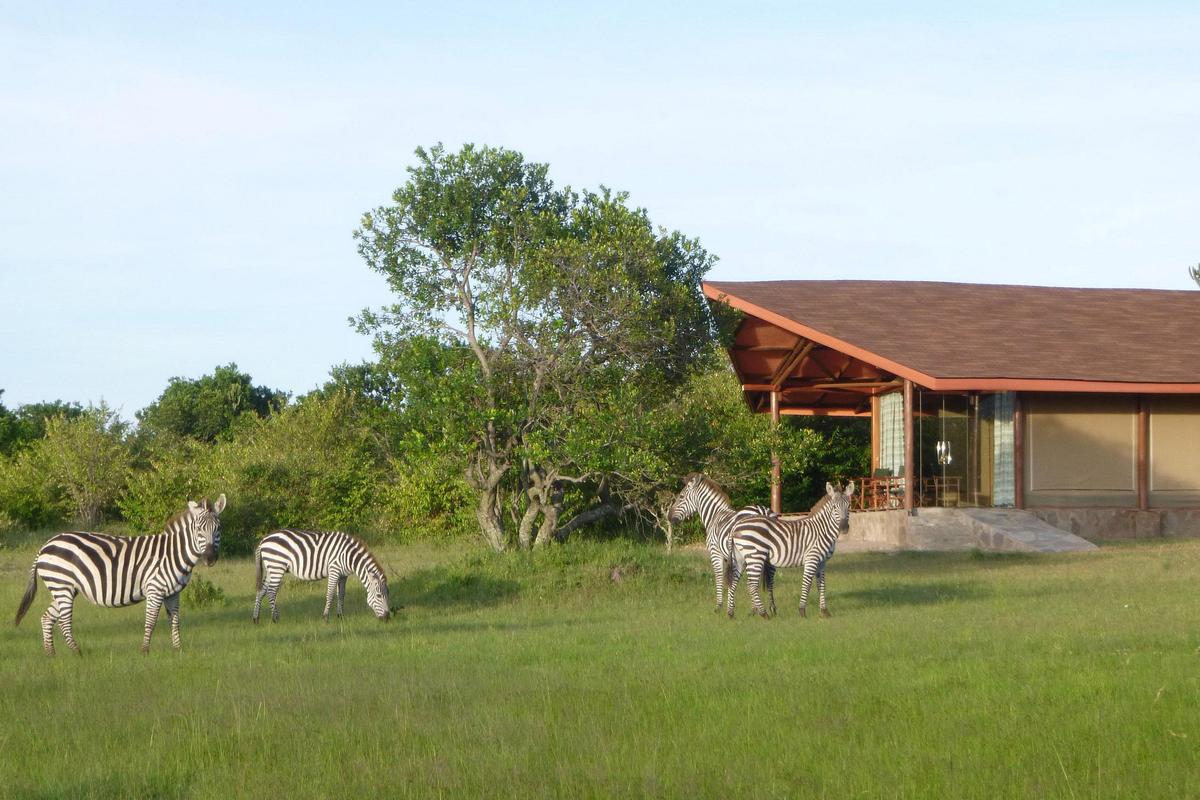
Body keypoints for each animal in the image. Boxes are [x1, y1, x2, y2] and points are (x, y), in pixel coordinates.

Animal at [12, 494, 225, 657]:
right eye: (199, 529)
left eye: (218, 528)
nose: (210, 558)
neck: (172, 553)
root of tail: (45, 545)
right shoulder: (155, 589)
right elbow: (151, 622)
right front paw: (145, 651)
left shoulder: (173, 593)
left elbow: (175, 621)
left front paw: (178, 650)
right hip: (62, 586)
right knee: (64, 622)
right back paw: (77, 653)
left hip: (64, 588)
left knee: (46, 618)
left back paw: (51, 654)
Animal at [254, 532, 393, 623]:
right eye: (379, 596)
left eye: (388, 594)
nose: (387, 618)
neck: (349, 556)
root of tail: (263, 540)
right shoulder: (334, 570)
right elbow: (330, 594)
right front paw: (326, 617)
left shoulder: (343, 575)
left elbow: (341, 594)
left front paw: (340, 616)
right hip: (277, 567)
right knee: (271, 592)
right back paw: (275, 618)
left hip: (271, 569)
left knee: (261, 591)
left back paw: (256, 618)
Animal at [667, 474, 777, 614]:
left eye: (681, 496)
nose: (668, 516)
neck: (715, 515)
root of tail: (762, 511)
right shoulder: (731, 557)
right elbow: (732, 579)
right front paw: (733, 605)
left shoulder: (715, 553)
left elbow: (719, 577)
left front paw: (719, 606)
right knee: (769, 578)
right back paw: (771, 608)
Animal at [720, 482, 854, 618]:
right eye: (834, 507)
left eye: (849, 506)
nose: (844, 528)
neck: (821, 531)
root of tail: (736, 525)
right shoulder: (812, 558)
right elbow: (807, 584)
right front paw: (802, 611)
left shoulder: (822, 562)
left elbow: (821, 585)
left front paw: (824, 611)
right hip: (755, 556)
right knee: (752, 585)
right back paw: (764, 614)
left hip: (740, 558)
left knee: (733, 582)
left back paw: (730, 614)